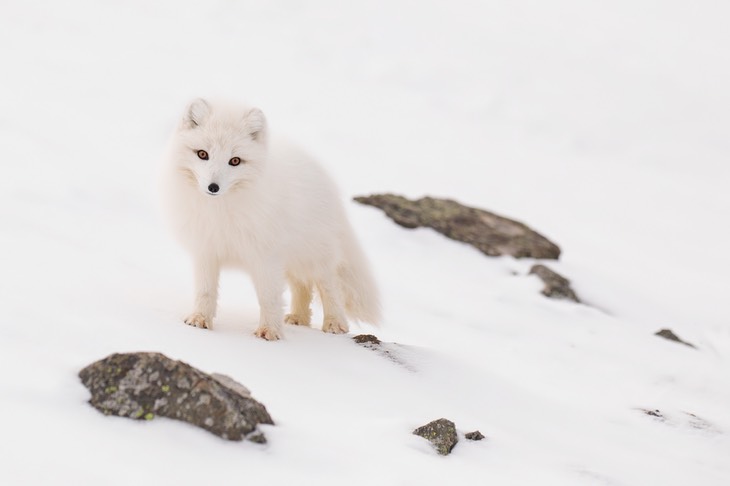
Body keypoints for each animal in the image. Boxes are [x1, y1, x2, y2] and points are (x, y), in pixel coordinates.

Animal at [163, 98, 382, 340]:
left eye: (235, 161)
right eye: (202, 154)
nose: (213, 187)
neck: (220, 211)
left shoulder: (265, 256)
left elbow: (269, 297)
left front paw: (269, 331)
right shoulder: (206, 250)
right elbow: (205, 290)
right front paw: (199, 319)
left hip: (316, 255)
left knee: (328, 286)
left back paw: (335, 323)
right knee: (302, 286)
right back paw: (298, 318)